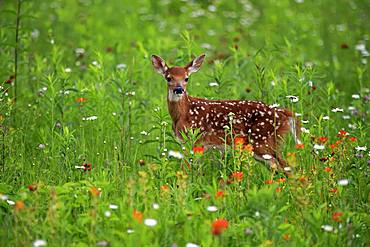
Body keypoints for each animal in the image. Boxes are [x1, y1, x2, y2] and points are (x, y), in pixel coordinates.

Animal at [150, 54, 300, 174]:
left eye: (186, 78)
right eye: (168, 78)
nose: (179, 89)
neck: (183, 114)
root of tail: (282, 112)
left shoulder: (195, 139)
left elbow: (185, 167)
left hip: (262, 140)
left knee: (281, 166)